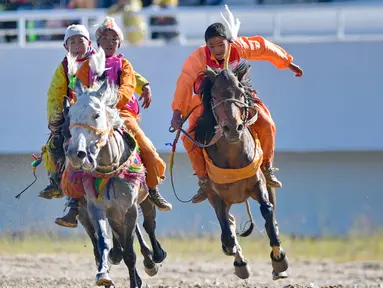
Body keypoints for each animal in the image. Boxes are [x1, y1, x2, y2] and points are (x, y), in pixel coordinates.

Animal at [195, 61, 288, 282]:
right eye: (215, 96)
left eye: (240, 93)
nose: (233, 128)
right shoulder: (216, 195)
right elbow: (226, 230)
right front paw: (232, 251)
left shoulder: (258, 182)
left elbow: (267, 212)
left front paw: (279, 259)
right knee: (229, 223)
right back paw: (239, 262)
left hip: (268, 183)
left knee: (272, 211)